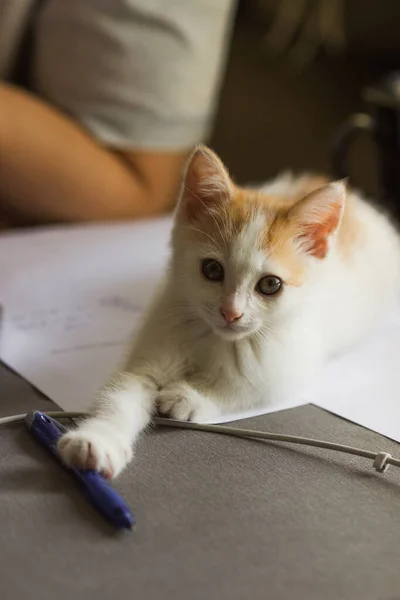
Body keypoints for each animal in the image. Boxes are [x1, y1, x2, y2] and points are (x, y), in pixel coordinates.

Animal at [57, 145, 398, 478]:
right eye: (212, 269)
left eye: (270, 284)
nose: (230, 312)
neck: (213, 339)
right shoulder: (153, 344)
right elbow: (120, 394)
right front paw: (97, 440)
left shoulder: (290, 362)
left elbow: (246, 385)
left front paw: (188, 396)